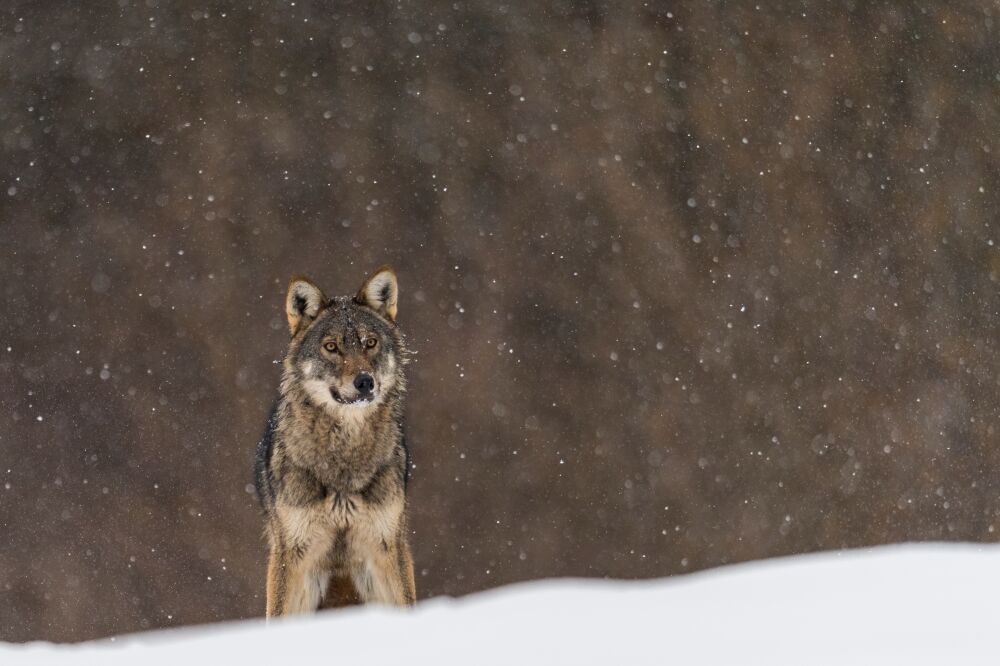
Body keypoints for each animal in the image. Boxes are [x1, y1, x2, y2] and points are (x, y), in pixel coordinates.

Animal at [258, 266, 418, 616]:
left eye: (370, 343)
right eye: (331, 347)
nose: (364, 382)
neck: (344, 459)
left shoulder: (389, 545)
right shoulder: (291, 553)